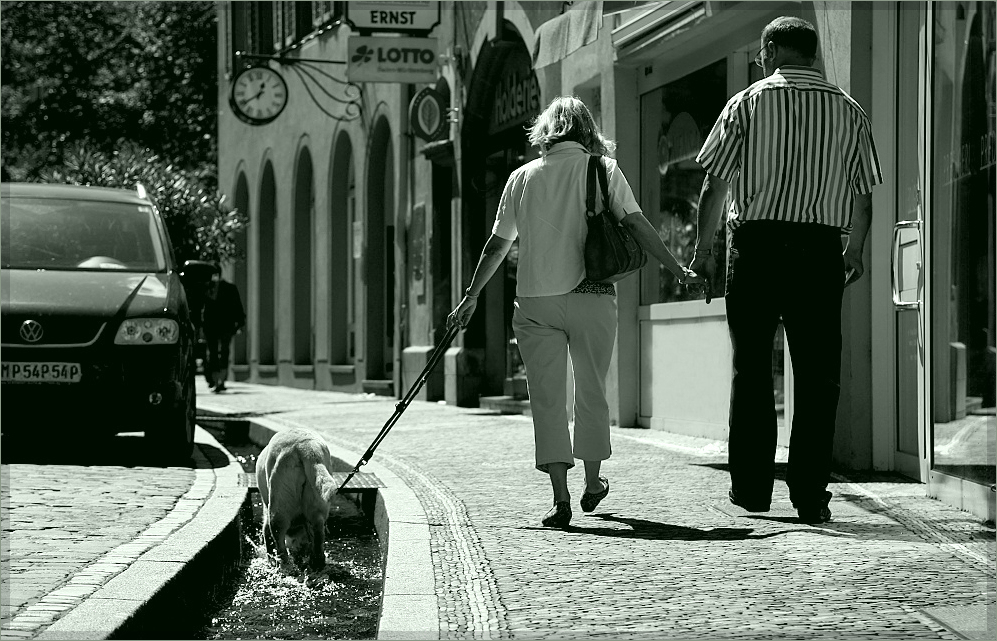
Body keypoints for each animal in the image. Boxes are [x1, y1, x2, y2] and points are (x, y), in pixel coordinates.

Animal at [253, 424, 338, 568]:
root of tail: (307, 447)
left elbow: (267, 535)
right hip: (316, 495)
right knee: (318, 529)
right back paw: (317, 561)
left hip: (279, 501)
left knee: (278, 537)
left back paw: (283, 565)